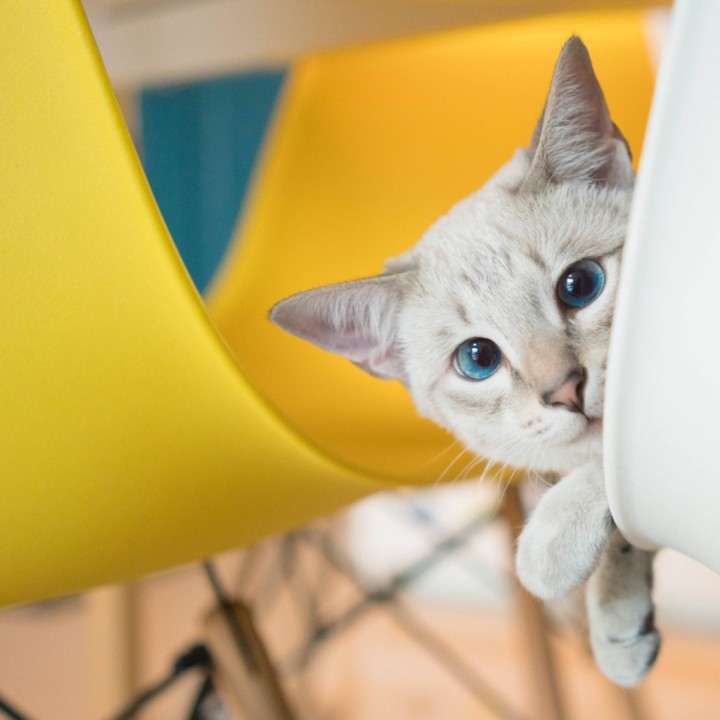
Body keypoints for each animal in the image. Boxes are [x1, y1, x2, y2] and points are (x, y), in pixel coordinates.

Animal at [269, 36, 660, 687]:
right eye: (478, 359)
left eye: (580, 285)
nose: (565, 390)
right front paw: (617, 619)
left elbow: (618, 454)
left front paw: (551, 545)